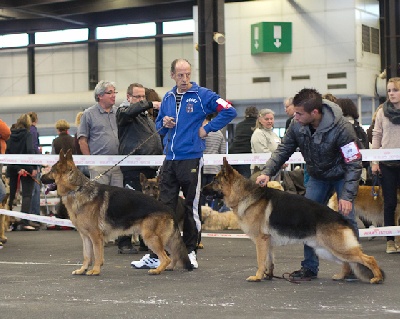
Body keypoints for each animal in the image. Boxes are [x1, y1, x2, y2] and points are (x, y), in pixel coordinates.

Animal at [41, 151, 192, 278]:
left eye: (52, 171)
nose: (41, 177)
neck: (77, 189)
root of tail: (167, 208)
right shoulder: (85, 237)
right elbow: (87, 255)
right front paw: (82, 269)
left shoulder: (95, 236)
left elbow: (97, 255)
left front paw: (95, 270)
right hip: (164, 239)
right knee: (173, 255)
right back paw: (169, 268)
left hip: (150, 238)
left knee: (166, 257)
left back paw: (157, 270)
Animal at [203, 159, 384, 284]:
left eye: (214, 181)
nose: (202, 190)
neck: (244, 195)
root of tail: (342, 218)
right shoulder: (268, 243)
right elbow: (269, 261)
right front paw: (268, 276)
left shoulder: (261, 241)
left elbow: (260, 261)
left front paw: (257, 276)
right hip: (326, 250)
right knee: (348, 263)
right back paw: (341, 276)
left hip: (337, 249)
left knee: (369, 259)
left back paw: (377, 278)